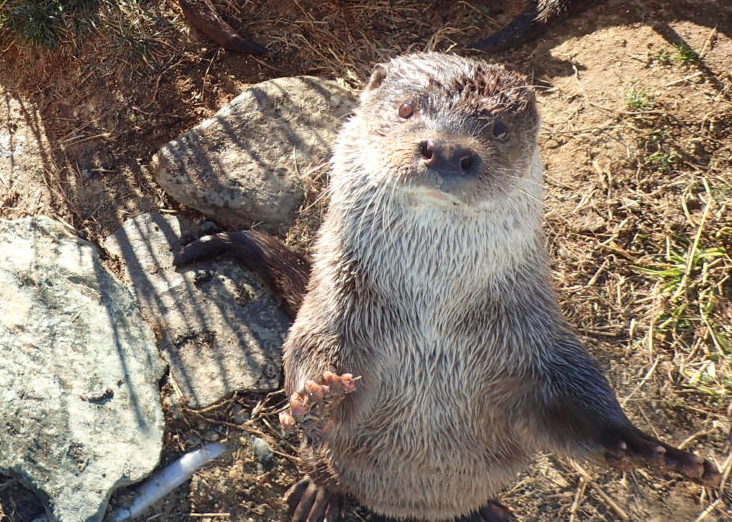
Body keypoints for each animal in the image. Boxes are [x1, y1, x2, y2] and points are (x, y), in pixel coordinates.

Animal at [179, 51, 720, 516]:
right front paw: (320, 398)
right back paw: (319, 494)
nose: (446, 148)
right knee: (322, 464)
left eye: (499, 129)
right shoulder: (333, 310)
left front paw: (655, 453)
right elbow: (307, 354)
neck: (431, 321)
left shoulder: (536, 341)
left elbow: (574, 405)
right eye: (406, 108)